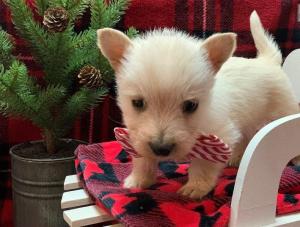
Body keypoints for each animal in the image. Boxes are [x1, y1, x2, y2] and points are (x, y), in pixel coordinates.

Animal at [96, 11, 298, 199]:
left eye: (191, 105)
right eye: (137, 103)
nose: (162, 149)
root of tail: (268, 61)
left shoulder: (218, 134)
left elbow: (202, 165)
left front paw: (196, 187)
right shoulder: (137, 137)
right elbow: (143, 159)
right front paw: (139, 180)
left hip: (282, 111)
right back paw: (235, 156)